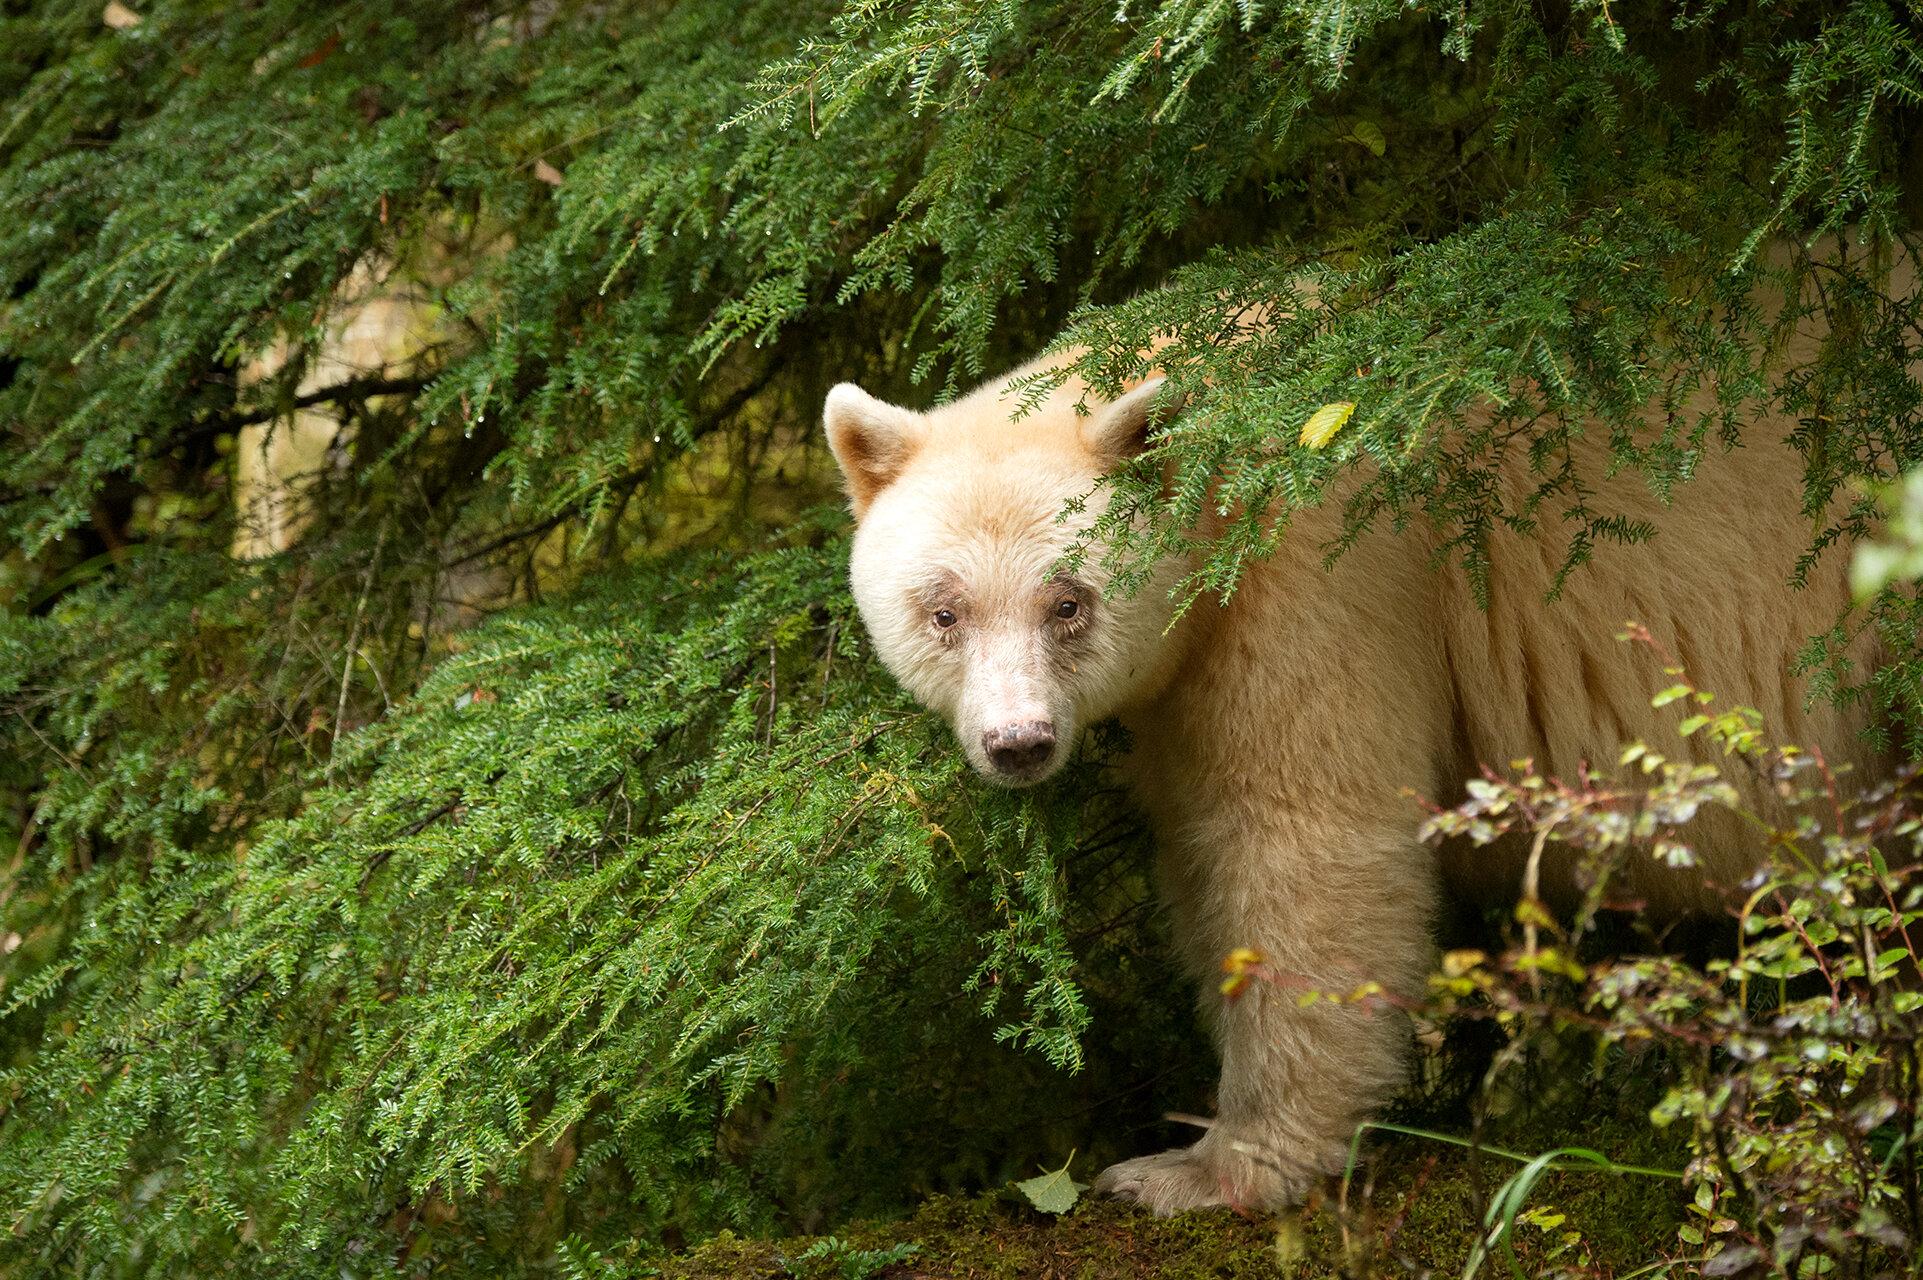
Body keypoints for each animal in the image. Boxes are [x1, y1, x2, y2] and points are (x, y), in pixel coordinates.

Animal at [820, 306, 1889, 1215]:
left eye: (1068, 601)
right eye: (945, 610)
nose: (1019, 743)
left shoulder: (1320, 567)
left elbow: (1303, 840)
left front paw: (1204, 1167)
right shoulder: (1188, 679)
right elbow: (1204, 846)